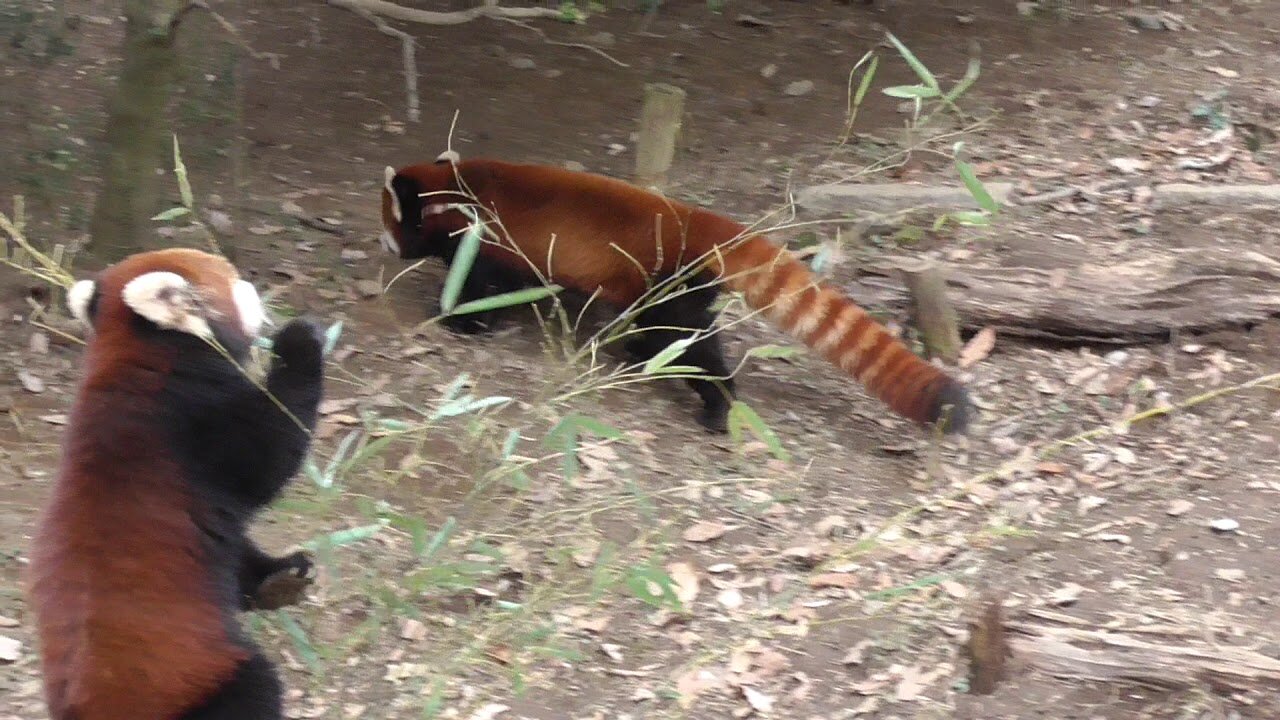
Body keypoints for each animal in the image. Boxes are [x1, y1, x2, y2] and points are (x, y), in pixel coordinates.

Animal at [28, 248, 327, 717]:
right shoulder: (193, 428)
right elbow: (269, 457)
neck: (142, 356)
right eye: (234, 280)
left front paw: (276, 572)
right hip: (197, 676)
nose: (258, 290)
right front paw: (299, 339)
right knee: (255, 687)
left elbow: (235, 548)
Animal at [378, 151, 967, 430]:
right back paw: (639, 355)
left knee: (690, 342)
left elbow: (480, 285)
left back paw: (716, 404)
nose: (387, 248)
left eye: (391, 223)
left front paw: (460, 318)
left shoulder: (486, 242)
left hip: (672, 283)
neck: (459, 190)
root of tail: (697, 220)